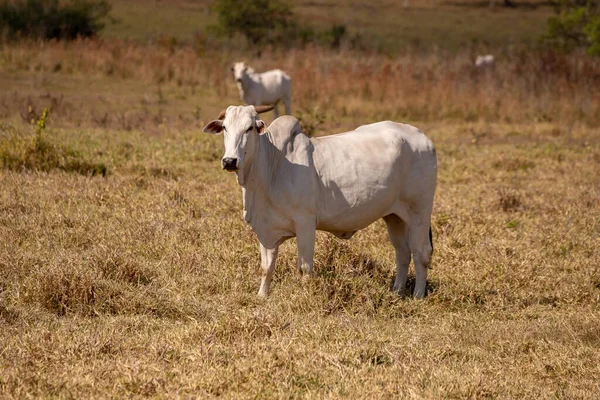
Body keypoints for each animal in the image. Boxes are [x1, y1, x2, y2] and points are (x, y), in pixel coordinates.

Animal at [204, 104, 438, 298]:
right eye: (225, 128)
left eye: (250, 128)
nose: (230, 161)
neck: (272, 166)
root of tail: (424, 139)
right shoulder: (266, 228)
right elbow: (267, 266)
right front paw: (262, 295)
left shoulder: (305, 222)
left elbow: (305, 267)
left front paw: (305, 296)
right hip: (393, 216)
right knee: (402, 252)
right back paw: (397, 292)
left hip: (419, 211)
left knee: (421, 252)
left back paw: (418, 295)